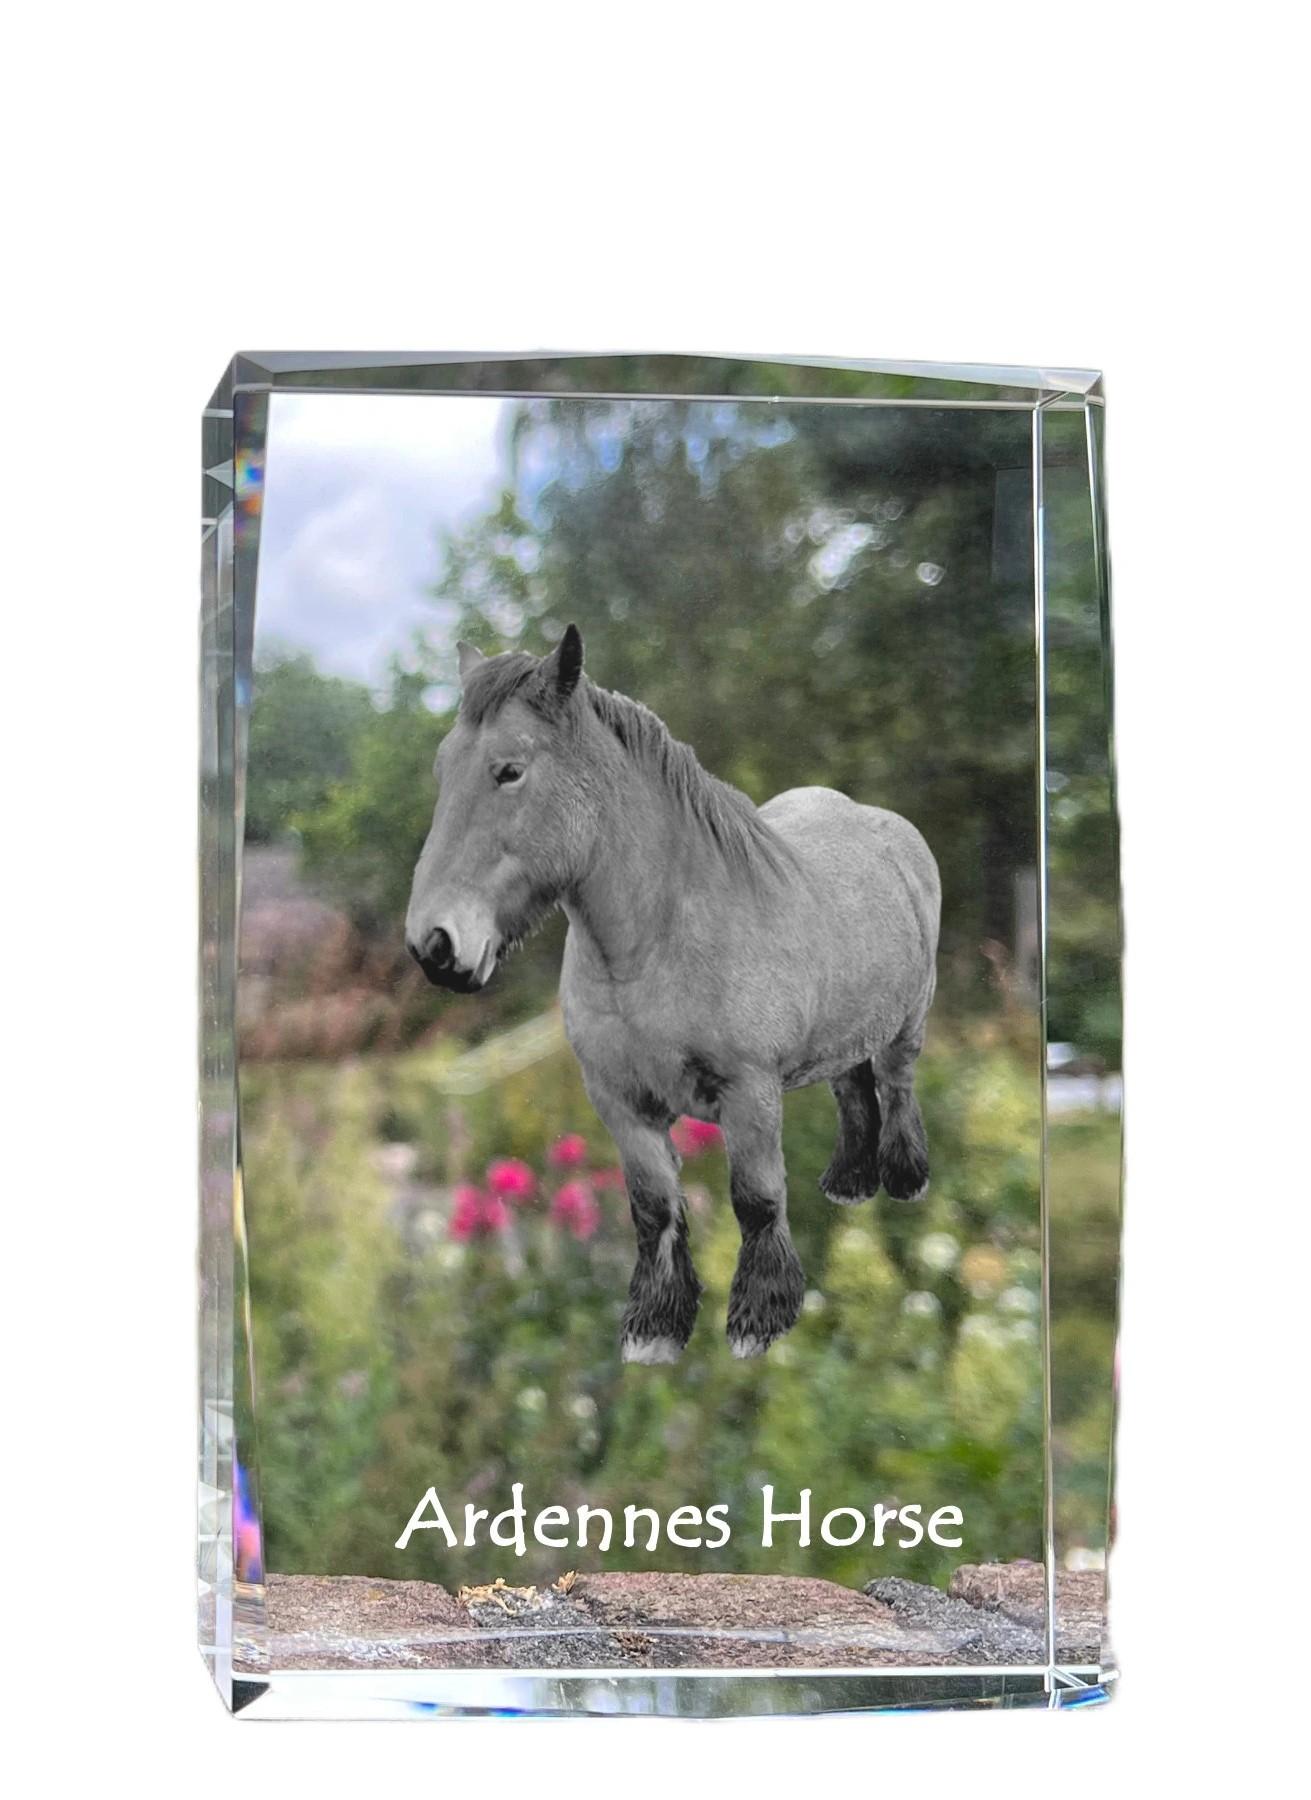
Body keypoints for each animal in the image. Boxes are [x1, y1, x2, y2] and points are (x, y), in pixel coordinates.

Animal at [406, 626, 940, 1363]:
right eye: (442, 770)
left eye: (509, 770)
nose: (433, 943)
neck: (654, 946)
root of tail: (893, 830)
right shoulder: (621, 1103)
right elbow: (653, 1207)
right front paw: (656, 1327)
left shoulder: (749, 1093)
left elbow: (756, 1199)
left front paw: (759, 1320)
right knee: (852, 1090)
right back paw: (849, 1185)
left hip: (905, 1025)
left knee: (894, 1086)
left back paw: (905, 1180)